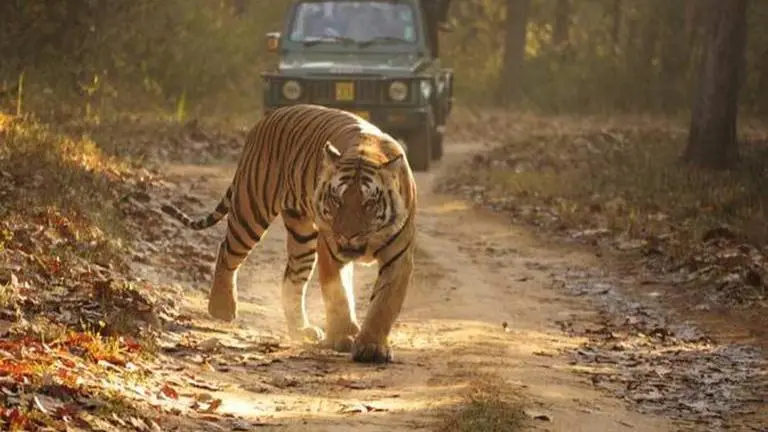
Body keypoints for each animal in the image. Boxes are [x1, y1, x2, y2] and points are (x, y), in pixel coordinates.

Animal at [161, 104, 417, 363]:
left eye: (369, 204)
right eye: (337, 200)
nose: (346, 235)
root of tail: (267, 118)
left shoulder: (399, 257)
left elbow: (384, 304)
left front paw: (371, 346)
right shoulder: (330, 250)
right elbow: (338, 295)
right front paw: (343, 336)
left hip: (302, 236)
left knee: (291, 278)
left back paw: (301, 329)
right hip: (251, 209)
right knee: (227, 251)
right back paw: (222, 308)